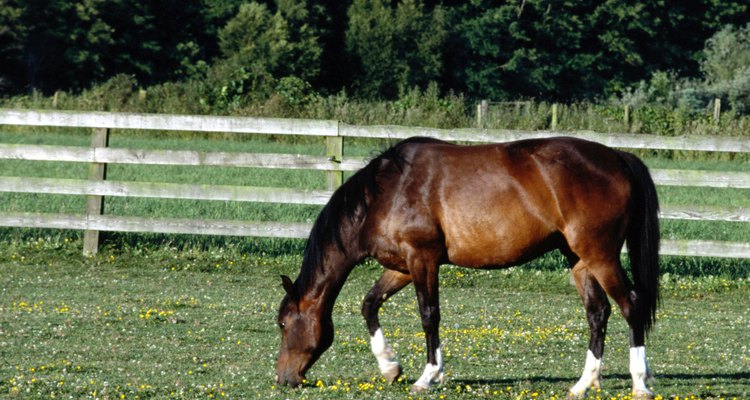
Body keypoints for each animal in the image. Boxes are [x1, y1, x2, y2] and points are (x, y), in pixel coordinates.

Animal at [274, 137, 656, 396]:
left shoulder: (422, 258)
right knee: (598, 313)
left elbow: (429, 315)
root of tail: (618, 158)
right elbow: (370, 304)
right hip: (579, 260)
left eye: (283, 324)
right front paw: (390, 367)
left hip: (600, 256)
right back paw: (583, 383)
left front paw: (428, 376)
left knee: (631, 306)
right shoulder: (403, 266)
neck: (387, 192)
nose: (283, 378)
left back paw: (640, 383)